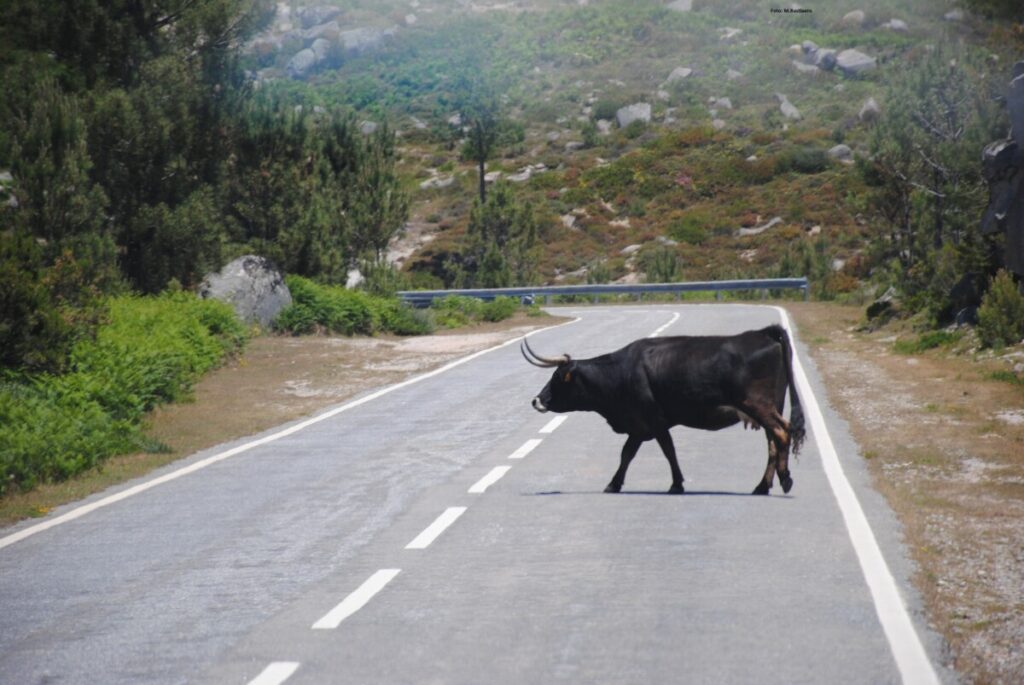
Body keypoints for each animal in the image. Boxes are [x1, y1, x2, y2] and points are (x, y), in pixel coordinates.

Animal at [524, 323, 802, 493]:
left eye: (557, 378)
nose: (536, 400)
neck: (621, 371)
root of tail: (763, 333)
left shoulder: (654, 420)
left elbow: (668, 451)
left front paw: (676, 484)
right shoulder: (639, 426)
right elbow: (627, 454)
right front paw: (614, 483)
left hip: (758, 405)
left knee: (781, 432)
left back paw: (786, 478)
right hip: (770, 406)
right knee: (773, 442)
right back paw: (762, 486)